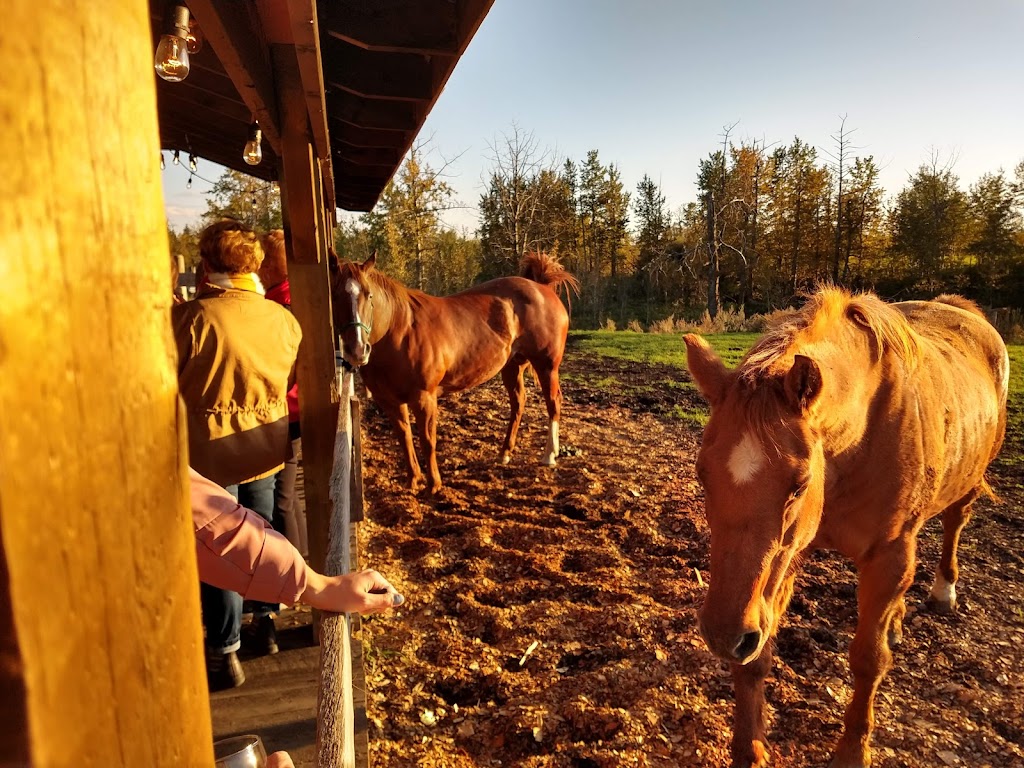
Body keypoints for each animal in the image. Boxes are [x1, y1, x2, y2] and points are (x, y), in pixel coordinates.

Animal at [331, 252, 581, 493]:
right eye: (334, 296)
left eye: (369, 295)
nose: (357, 349)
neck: (399, 331)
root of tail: (541, 287)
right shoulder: (390, 402)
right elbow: (404, 438)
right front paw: (413, 480)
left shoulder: (424, 398)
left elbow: (427, 440)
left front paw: (433, 485)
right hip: (512, 365)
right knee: (518, 403)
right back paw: (505, 453)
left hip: (546, 365)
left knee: (553, 403)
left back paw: (549, 455)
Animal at [684, 290, 1003, 768]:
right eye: (702, 474)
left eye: (799, 484)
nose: (724, 636)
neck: (860, 439)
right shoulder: (787, 556)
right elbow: (758, 654)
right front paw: (749, 749)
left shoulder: (887, 554)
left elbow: (869, 659)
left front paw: (853, 751)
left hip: (964, 487)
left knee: (953, 525)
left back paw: (943, 591)